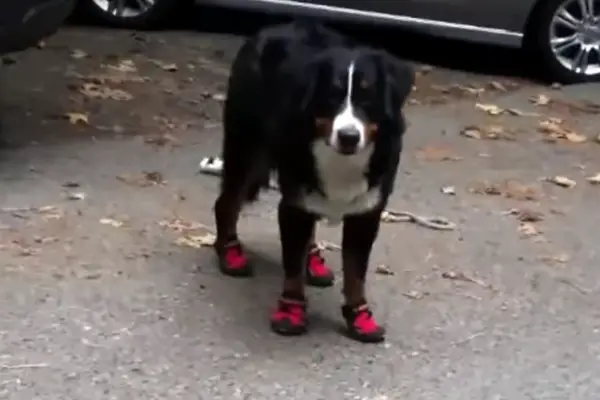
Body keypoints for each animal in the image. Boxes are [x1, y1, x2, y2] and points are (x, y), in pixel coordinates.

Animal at [213, 20, 414, 342]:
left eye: (367, 96)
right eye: (331, 96)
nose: (348, 136)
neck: (339, 161)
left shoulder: (366, 213)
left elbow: (355, 272)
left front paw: (359, 317)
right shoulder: (294, 205)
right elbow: (292, 270)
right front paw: (291, 312)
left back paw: (314, 261)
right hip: (247, 148)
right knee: (226, 203)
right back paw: (230, 253)